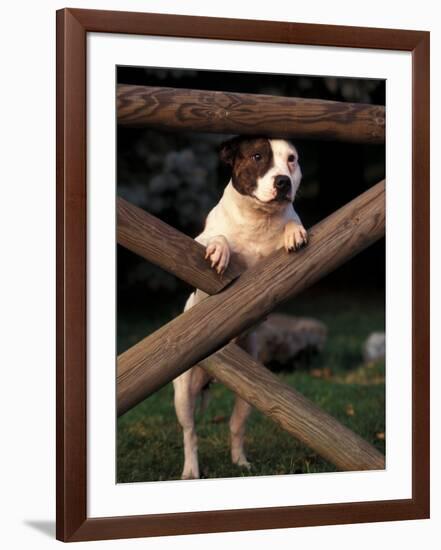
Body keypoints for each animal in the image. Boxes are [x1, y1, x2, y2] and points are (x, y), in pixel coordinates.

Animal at [172, 136, 306, 480]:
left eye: (291, 159)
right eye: (258, 157)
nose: (283, 182)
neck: (258, 219)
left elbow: (292, 222)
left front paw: (294, 230)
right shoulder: (196, 246)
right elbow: (216, 238)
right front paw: (220, 248)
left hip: (252, 393)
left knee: (235, 426)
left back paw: (240, 461)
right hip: (183, 392)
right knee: (190, 432)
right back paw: (190, 469)